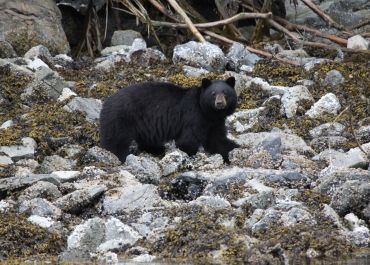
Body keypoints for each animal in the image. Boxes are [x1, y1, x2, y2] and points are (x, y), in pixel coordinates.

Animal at [99, 76, 237, 162]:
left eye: (225, 93)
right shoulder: (194, 116)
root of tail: (106, 103)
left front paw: (232, 152)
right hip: (121, 119)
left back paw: (157, 149)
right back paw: (121, 156)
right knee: (116, 142)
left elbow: (217, 140)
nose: (219, 103)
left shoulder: (215, 123)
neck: (209, 114)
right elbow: (187, 140)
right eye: (213, 94)